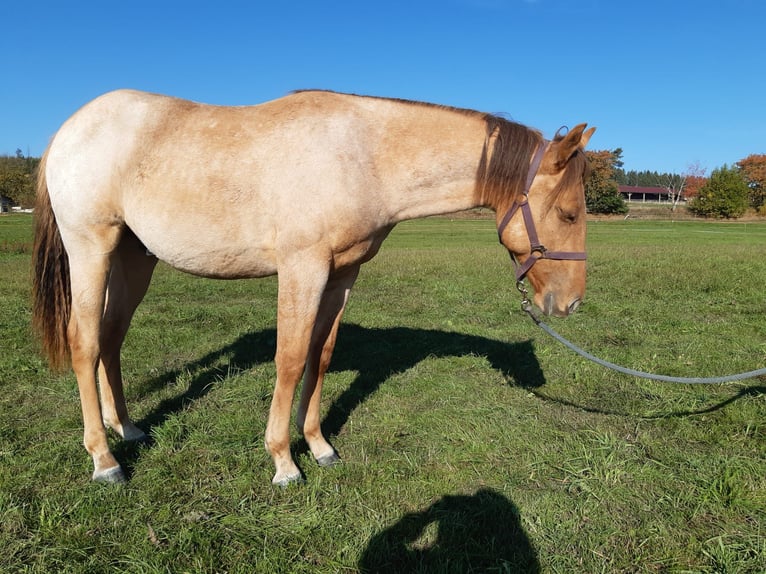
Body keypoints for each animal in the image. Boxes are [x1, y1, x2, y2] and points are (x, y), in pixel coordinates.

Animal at [32, 89, 595, 486]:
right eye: (569, 213)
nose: (570, 303)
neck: (363, 154)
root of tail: (68, 129)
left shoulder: (342, 275)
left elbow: (319, 355)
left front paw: (319, 445)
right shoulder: (302, 269)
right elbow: (289, 357)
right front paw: (283, 461)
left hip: (134, 259)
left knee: (110, 341)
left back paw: (126, 428)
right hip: (91, 248)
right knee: (85, 344)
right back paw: (104, 459)